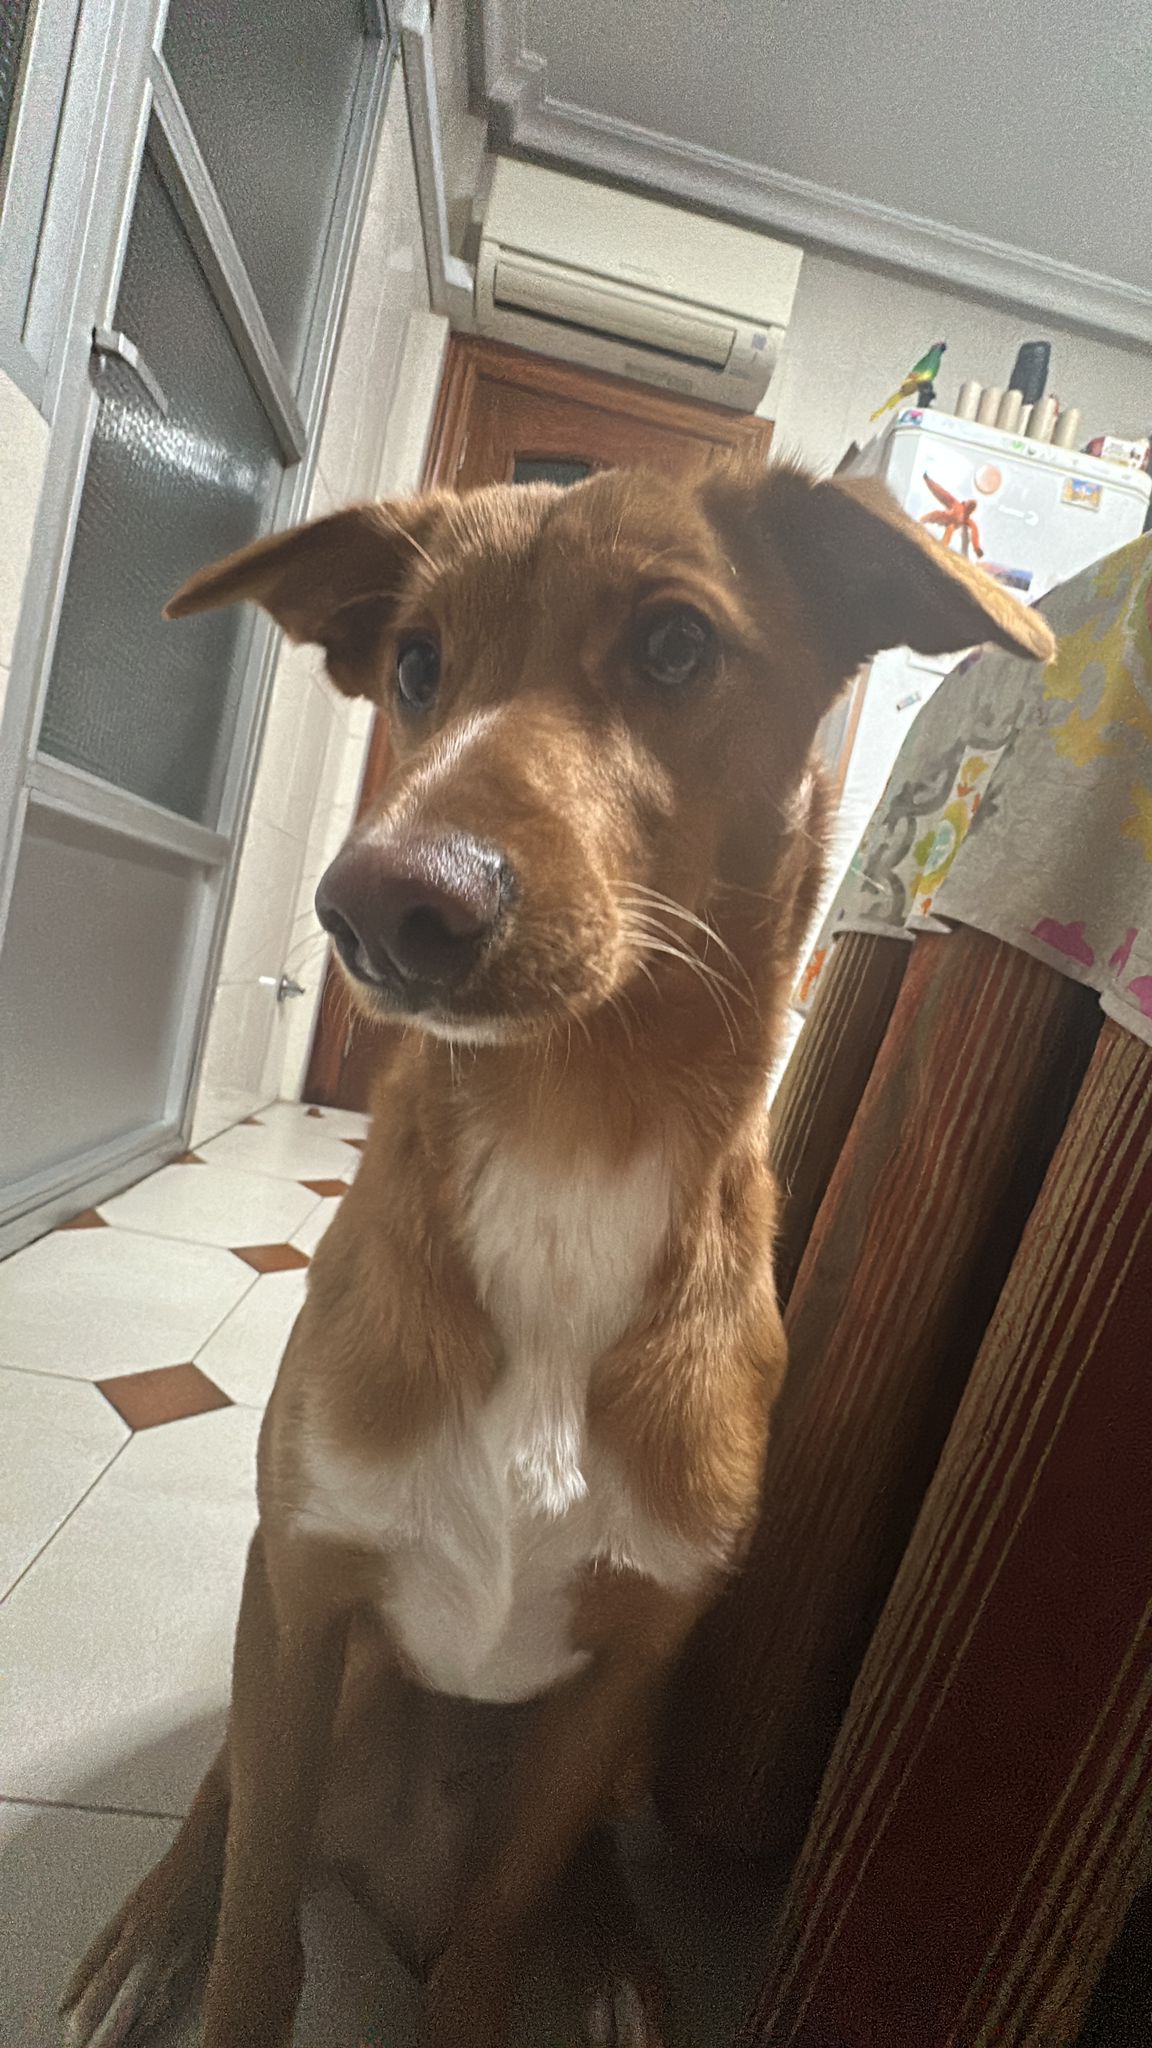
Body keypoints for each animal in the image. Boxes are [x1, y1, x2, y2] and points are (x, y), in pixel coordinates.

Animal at [63, 457, 1052, 2048]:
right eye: (415, 665)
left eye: (674, 644)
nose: (379, 904)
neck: (565, 1144)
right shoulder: (309, 1582)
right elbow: (258, 1927)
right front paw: (199, 1950)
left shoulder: (621, 1670)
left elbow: (494, 1936)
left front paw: (535, 1959)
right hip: (296, 1649)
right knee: (230, 1791)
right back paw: (148, 1938)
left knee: (568, 1854)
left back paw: (613, 1960)